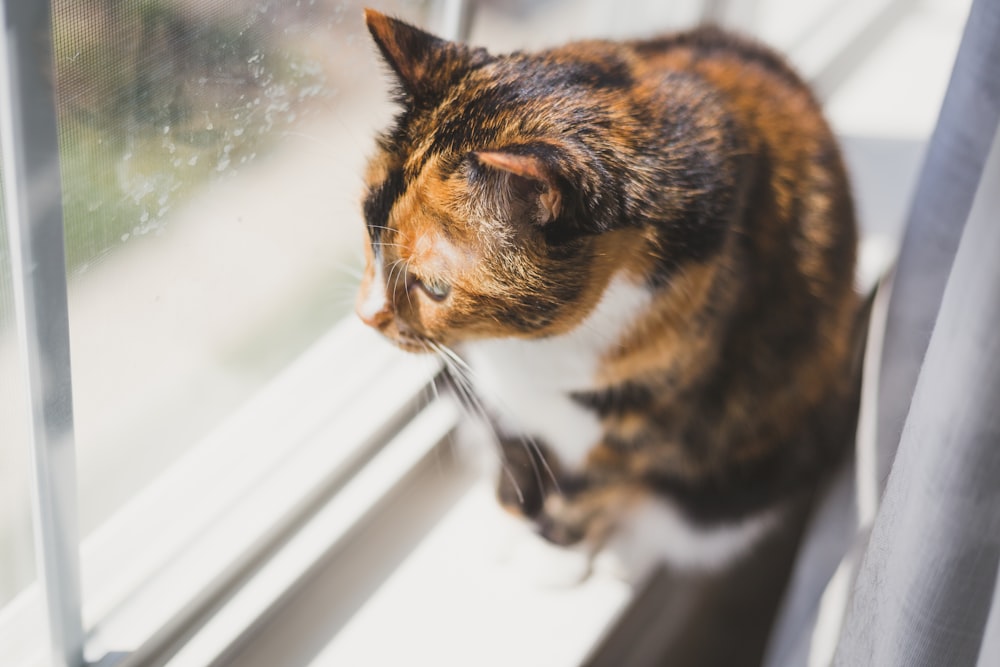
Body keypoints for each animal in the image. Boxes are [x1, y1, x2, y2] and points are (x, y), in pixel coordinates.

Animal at [356, 9, 864, 584]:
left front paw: (551, 555)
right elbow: (512, 441)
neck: (530, 351)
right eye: (368, 227)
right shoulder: (493, 390)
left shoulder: (655, 423)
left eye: (434, 288)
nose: (366, 316)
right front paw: (514, 517)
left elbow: (589, 489)